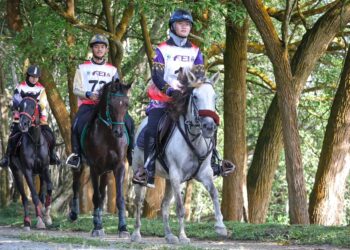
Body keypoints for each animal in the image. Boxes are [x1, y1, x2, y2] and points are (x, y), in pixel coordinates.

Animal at [9, 94, 52, 230]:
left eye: (33, 106)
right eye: (20, 106)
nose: (23, 124)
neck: (35, 142)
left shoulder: (45, 168)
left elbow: (49, 188)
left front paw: (47, 216)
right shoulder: (27, 171)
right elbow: (33, 195)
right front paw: (40, 221)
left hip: (38, 174)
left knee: (41, 193)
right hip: (17, 172)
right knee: (24, 197)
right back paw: (27, 222)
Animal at [69, 80, 131, 238]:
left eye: (126, 104)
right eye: (111, 104)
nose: (119, 132)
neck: (107, 135)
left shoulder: (119, 166)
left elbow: (119, 198)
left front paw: (123, 228)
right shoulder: (94, 167)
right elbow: (95, 197)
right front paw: (97, 227)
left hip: (106, 171)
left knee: (102, 195)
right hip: (81, 166)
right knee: (76, 185)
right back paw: (74, 214)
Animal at [131, 69, 227, 244]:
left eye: (215, 97)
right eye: (195, 96)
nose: (209, 126)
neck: (194, 138)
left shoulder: (204, 173)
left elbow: (214, 194)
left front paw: (220, 226)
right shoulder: (176, 175)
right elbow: (181, 208)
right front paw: (183, 236)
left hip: (169, 180)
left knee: (164, 204)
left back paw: (169, 235)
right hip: (140, 172)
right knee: (138, 202)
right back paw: (136, 234)